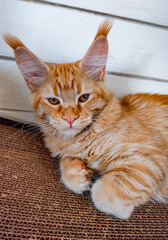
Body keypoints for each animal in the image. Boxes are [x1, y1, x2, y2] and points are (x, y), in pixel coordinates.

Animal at [4, 20, 168, 219]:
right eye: (53, 101)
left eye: (83, 98)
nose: (70, 119)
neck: (80, 139)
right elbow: (67, 160)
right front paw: (77, 172)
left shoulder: (151, 157)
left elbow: (104, 194)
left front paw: (120, 208)